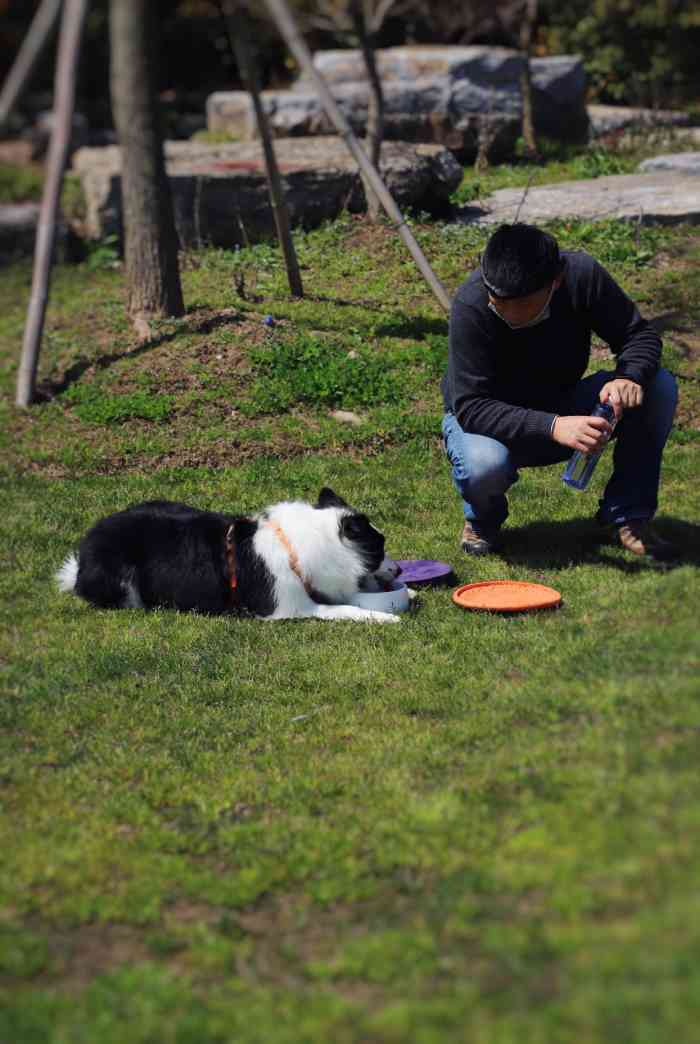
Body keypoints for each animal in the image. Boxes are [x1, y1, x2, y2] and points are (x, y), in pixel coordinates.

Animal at [56, 486, 405, 622]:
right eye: (381, 546)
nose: (400, 570)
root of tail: (81, 560)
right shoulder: (291, 608)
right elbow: (346, 609)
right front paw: (385, 618)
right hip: (122, 584)